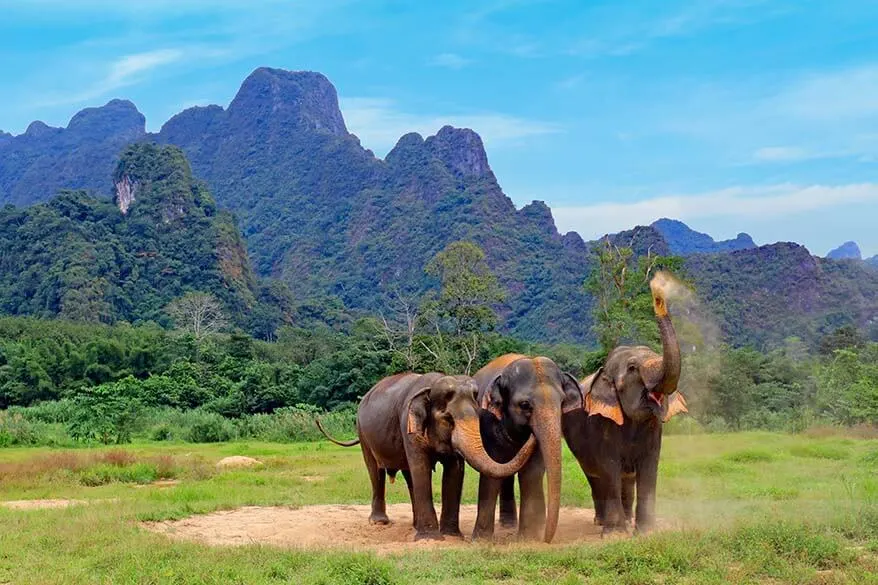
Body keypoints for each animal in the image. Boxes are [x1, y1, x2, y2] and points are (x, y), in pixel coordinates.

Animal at [316, 370, 536, 540]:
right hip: (363, 432)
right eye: (448, 419)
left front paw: (452, 536)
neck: (431, 387)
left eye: (478, 416)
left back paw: (415, 524)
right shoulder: (408, 423)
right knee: (375, 471)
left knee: (408, 476)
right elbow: (421, 467)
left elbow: (454, 471)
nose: (532, 431)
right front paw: (430, 538)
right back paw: (380, 522)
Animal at [470, 356, 588, 544]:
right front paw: (480, 541)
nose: (547, 539)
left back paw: (510, 526)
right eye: (525, 405)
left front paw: (530, 537)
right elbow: (491, 471)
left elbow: (531, 473)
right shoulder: (488, 422)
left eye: (562, 402)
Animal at [564, 272, 688, 532]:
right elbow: (609, 467)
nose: (658, 290)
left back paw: (628, 521)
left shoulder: (654, 430)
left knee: (627, 479)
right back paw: (601, 522)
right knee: (596, 478)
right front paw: (615, 533)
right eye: (632, 368)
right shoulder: (601, 424)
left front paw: (646, 532)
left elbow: (649, 469)